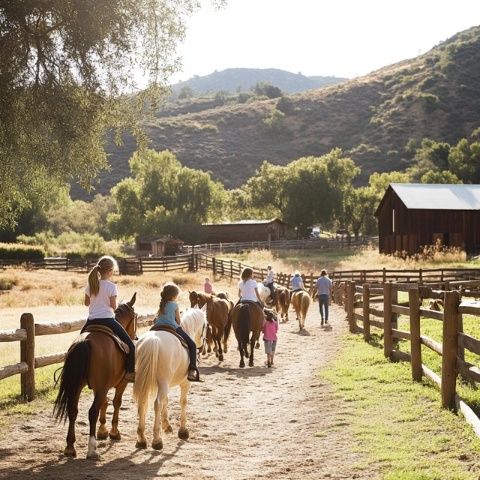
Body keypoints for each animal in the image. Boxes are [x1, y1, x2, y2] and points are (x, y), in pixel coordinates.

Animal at [53, 292, 138, 458]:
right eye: (135, 317)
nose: (135, 337)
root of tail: (85, 342)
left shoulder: (98, 388)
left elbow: (104, 403)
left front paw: (103, 431)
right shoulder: (120, 384)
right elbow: (116, 403)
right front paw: (113, 432)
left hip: (78, 386)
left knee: (73, 410)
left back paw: (70, 447)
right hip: (100, 387)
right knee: (92, 412)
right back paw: (92, 449)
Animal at [133, 308, 206, 450]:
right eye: (206, 326)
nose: (202, 347)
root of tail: (153, 341)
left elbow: (165, 401)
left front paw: (166, 425)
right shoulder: (185, 383)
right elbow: (183, 402)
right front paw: (183, 431)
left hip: (149, 381)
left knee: (143, 402)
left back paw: (141, 438)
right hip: (164, 382)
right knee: (156, 403)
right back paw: (157, 440)